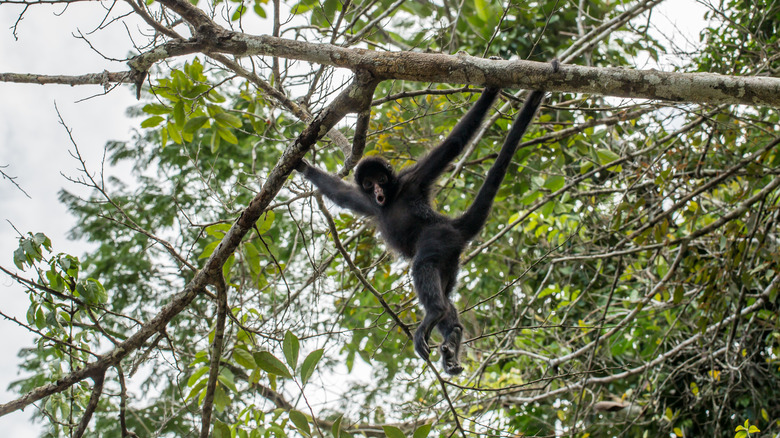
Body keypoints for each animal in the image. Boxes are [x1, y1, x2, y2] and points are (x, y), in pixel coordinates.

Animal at [296, 62, 556, 376]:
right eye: (369, 184)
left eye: (382, 179)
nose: (378, 191)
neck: (393, 197)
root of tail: (452, 226)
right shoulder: (368, 203)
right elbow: (340, 193)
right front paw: (303, 167)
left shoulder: (414, 179)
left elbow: (454, 144)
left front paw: (491, 89)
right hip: (451, 261)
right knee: (446, 292)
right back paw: (452, 335)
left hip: (438, 237)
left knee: (423, 265)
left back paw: (435, 314)